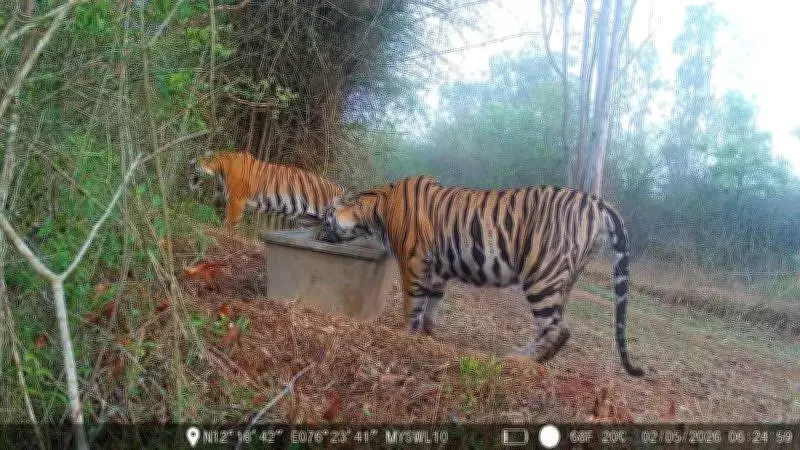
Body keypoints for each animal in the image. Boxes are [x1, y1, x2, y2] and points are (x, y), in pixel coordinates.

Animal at [187, 150, 344, 228]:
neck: (221, 168)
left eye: (194, 164)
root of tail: (341, 188)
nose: (188, 163)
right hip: (309, 220)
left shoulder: (236, 200)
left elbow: (230, 221)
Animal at [317, 175, 643, 376]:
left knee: (559, 329)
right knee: (551, 327)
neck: (377, 208)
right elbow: (432, 304)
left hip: (541, 274)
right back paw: (526, 354)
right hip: (565, 278)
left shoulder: (413, 262)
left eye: (325, 217)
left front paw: (405, 333)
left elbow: (413, 303)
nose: (317, 232)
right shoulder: (437, 270)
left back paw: (521, 360)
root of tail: (598, 201)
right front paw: (428, 334)